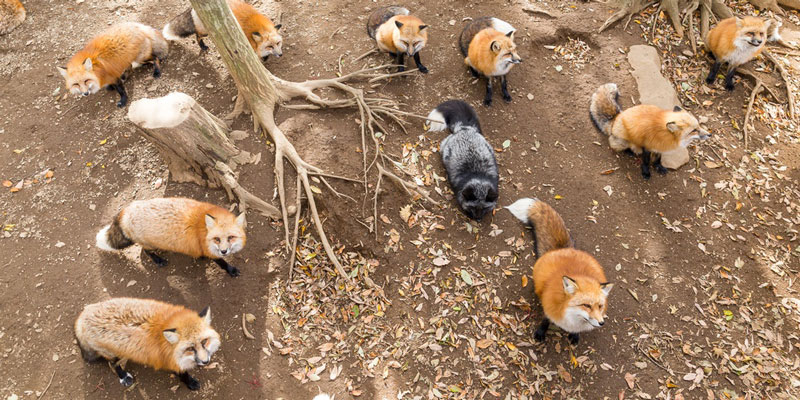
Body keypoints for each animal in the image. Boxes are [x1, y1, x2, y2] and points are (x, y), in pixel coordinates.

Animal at [75, 298, 220, 390]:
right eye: (190, 348)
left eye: (204, 341)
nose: (206, 362)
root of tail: (82, 316)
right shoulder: (169, 360)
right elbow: (182, 374)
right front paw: (190, 383)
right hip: (112, 354)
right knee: (113, 365)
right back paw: (123, 376)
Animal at [94, 198, 245, 278]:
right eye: (217, 239)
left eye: (231, 237)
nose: (224, 251)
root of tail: (126, 211)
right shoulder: (210, 250)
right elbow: (222, 262)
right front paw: (231, 270)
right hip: (149, 244)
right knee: (145, 251)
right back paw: (158, 260)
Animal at [506, 198, 612, 346]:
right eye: (586, 305)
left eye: (600, 306)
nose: (602, 323)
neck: (569, 315)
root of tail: (564, 249)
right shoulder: (549, 306)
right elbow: (545, 320)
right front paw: (540, 333)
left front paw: (575, 335)